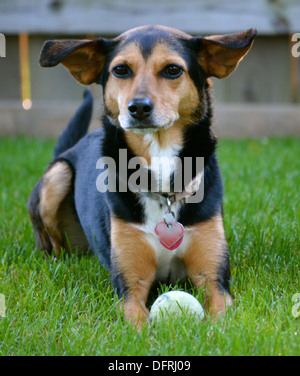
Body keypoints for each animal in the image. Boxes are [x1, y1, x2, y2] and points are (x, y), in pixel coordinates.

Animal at [28, 25, 255, 328]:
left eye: (173, 69)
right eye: (121, 69)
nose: (138, 107)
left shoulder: (214, 278)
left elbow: (221, 319)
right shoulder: (130, 284)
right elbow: (136, 321)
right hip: (58, 176)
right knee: (52, 246)